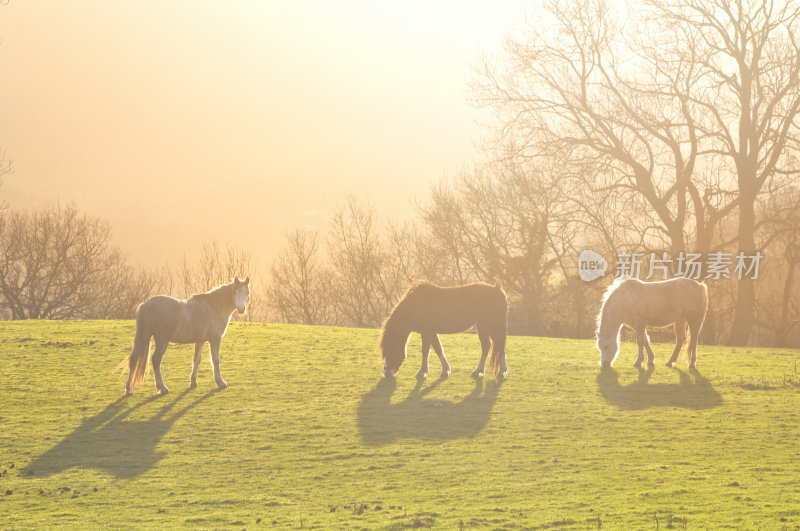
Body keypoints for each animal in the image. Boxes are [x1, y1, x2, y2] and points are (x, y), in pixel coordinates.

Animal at [115, 278, 250, 394]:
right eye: (235, 291)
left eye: (247, 293)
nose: (241, 309)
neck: (212, 307)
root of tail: (145, 305)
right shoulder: (215, 339)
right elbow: (215, 360)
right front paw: (220, 382)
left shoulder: (200, 341)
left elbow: (196, 360)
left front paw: (193, 382)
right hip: (162, 341)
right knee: (156, 360)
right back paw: (162, 388)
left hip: (143, 337)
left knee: (134, 359)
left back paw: (128, 389)